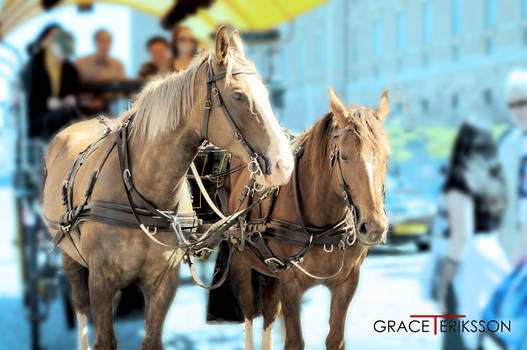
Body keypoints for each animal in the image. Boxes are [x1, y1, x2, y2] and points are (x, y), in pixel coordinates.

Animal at [40, 26, 296, 350]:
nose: (284, 165)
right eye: (238, 95)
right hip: (69, 256)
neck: (143, 194)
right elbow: (103, 337)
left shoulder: (162, 284)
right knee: (80, 307)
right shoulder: (101, 281)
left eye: (266, 93)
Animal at [223, 88, 392, 350]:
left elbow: (335, 339)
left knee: (269, 312)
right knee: (250, 311)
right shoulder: (290, 282)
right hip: (241, 260)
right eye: (344, 156)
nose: (374, 227)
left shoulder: (347, 281)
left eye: (387, 156)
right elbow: (294, 341)